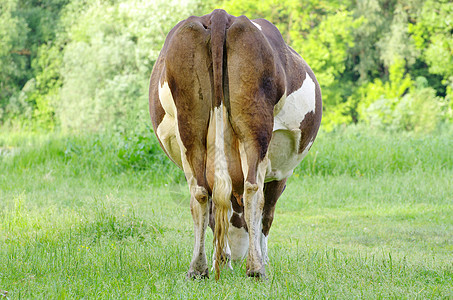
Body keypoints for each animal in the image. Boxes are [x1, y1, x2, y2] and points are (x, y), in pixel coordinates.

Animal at [148, 9, 322, 282]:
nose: (238, 258)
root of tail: (220, 15)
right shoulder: (280, 174)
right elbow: (266, 216)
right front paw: (262, 258)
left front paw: (222, 259)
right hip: (256, 126)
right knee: (253, 192)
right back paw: (256, 268)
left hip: (190, 128)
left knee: (201, 194)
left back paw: (198, 268)